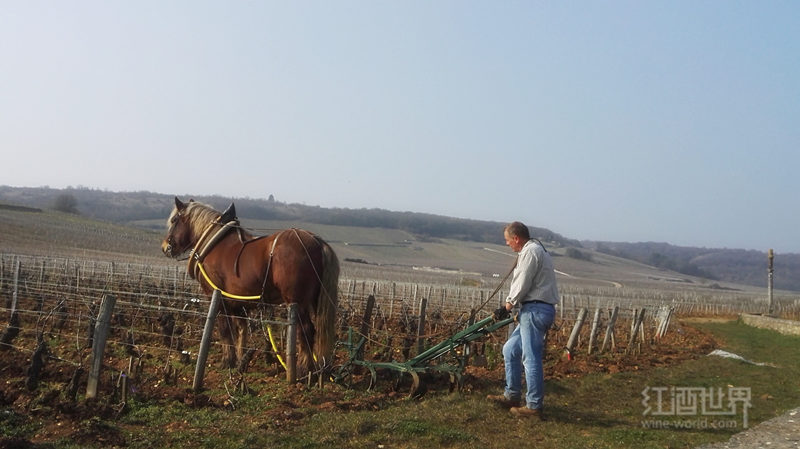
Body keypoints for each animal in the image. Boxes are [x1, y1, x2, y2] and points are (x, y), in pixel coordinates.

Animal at [161, 196, 340, 374]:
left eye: (174, 220)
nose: (164, 247)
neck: (213, 243)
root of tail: (317, 241)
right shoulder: (237, 302)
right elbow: (241, 330)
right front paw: (241, 361)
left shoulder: (217, 298)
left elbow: (225, 330)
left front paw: (227, 361)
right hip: (315, 300)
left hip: (297, 302)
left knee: (306, 331)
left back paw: (304, 369)